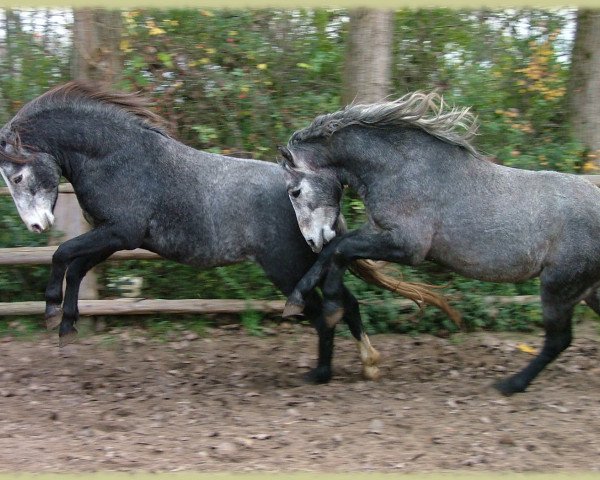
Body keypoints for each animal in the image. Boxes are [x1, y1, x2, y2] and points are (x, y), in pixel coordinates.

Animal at [0, 81, 452, 382]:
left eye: (17, 176)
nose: (37, 225)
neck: (118, 158)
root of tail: (318, 212)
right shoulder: (117, 239)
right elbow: (75, 266)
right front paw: (66, 328)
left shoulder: (119, 233)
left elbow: (62, 255)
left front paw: (51, 311)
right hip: (304, 261)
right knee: (344, 305)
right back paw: (365, 364)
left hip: (287, 266)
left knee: (324, 310)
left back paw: (323, 373)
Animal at [278, 92, 600, 396]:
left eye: (294, 192)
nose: (311, 240)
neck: (400, 168)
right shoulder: (377, 231)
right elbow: (336, 250)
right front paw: (300, 298)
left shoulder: (408, 246)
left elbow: (340, 249)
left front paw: (330, 306)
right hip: (585, 290)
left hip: (558, 287)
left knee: (559, 340)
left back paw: (511, 384)